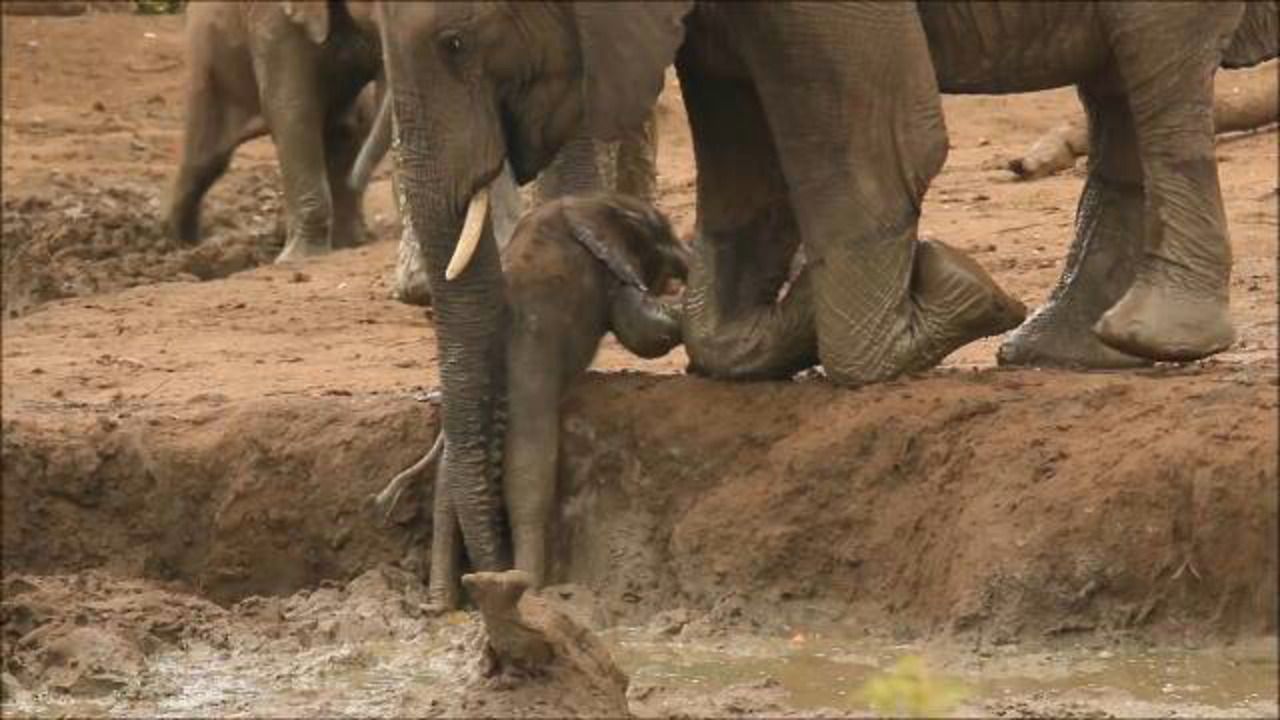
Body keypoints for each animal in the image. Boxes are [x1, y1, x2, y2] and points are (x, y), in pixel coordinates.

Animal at [163, 0, 378, 263]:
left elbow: (348, 124)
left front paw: (344, 246)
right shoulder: (273, 23)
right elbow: (292, 110)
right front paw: (296, 259)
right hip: (207, 52)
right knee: (205, 157)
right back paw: (185, 248)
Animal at [424, 193, 691, 602]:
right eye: (661, 230)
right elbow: (643, 331)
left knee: (446, 483)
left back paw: (441, 603)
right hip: (529, 360)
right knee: (529, 463)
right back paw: (529, 588)